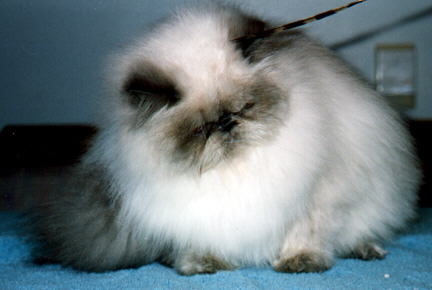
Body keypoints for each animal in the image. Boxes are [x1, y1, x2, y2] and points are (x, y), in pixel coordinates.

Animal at [33, 2, 418, 274]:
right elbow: (197, 242)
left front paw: (300, 262)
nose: (227, 124)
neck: (235, 170)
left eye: (245, 106)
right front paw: (203, 264)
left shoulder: (318, 195)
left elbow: (306, 234)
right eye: (201, 130)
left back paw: (367, 250)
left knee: (362, 231)